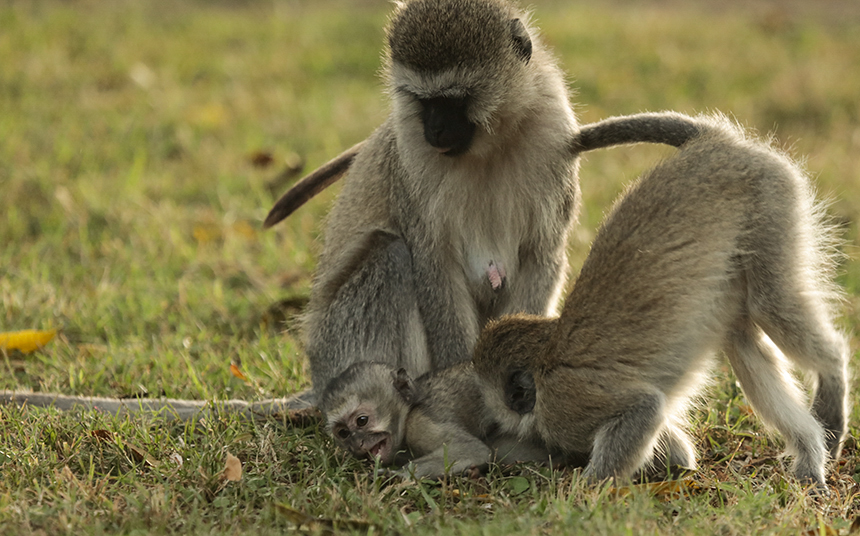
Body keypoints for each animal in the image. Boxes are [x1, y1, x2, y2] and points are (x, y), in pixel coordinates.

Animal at [470, 115, 848, 488]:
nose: (492, 427)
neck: (544, 358)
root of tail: (712, 143)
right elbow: (679, 453)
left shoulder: (566, 404)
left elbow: (645, 407)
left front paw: (584, 492)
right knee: (742, 340)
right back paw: (810, 457)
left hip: (770, 200)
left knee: (770, 304)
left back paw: (832, 378)